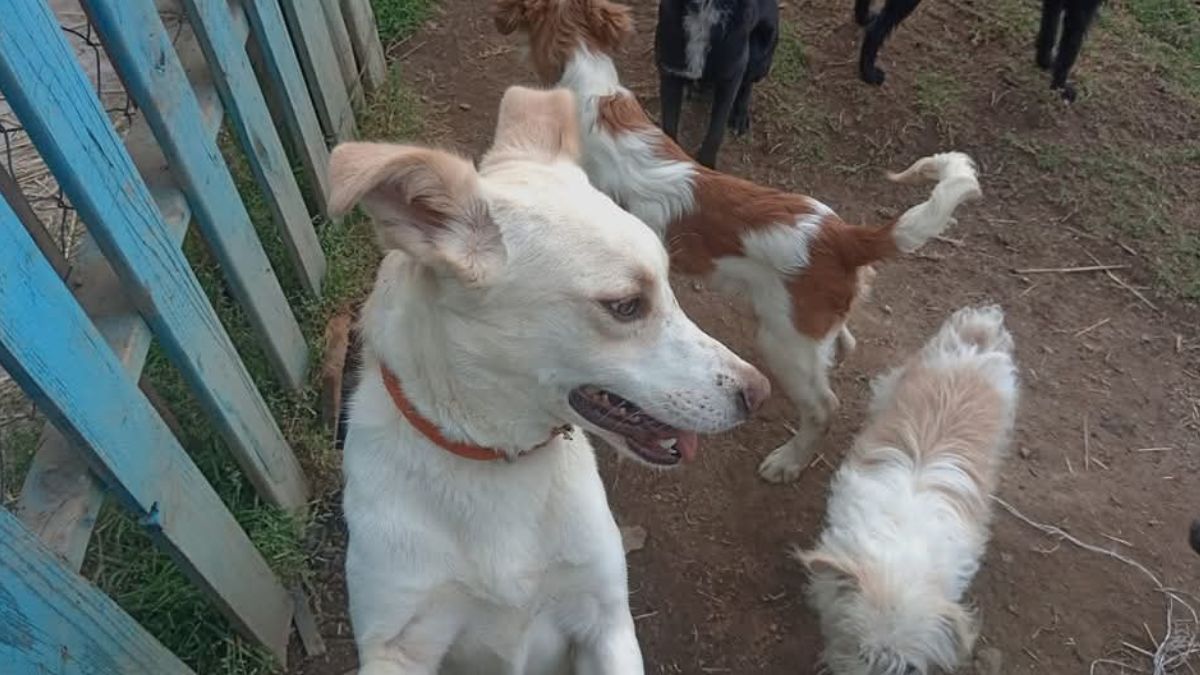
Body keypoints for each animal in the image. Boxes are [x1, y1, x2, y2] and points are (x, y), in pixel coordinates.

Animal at [657, 0, 777, 166]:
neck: (707, 6)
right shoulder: (670, 70)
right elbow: (669, 128)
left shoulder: (731, 76)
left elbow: (716, 132)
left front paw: (706, 165)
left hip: (761, 51)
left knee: (747, 84)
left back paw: (740, 116)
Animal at [859, 0, 1099, 100]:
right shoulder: (1081, 7)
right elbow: (1070, 49)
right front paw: (1060, 88)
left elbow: (1049, 29)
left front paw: (1045, 61)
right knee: (875, 30)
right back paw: (867, 73)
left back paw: (863, 17)